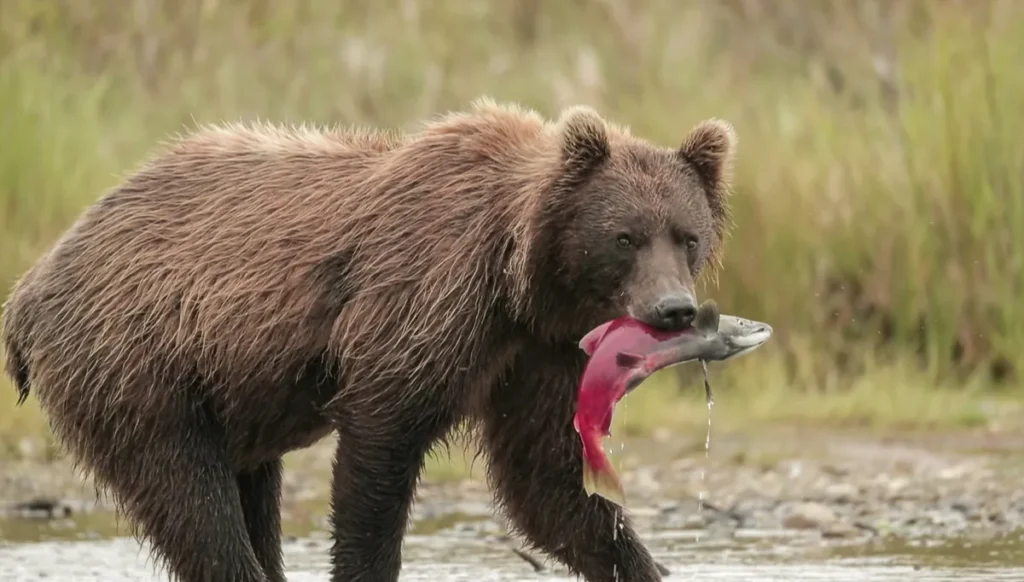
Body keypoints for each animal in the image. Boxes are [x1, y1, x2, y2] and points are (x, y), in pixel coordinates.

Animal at [1, 97, 737, 582]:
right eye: (625, 237)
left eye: (687, 235)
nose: (674, 309)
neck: (519, 277)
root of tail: (31, 286)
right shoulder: (423, 296)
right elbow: (380, 453)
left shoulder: (538, 353)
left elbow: (548, 483)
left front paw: (638, 561)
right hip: (137, 364)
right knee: (190, 498)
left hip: (225, 399)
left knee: (248, 494)